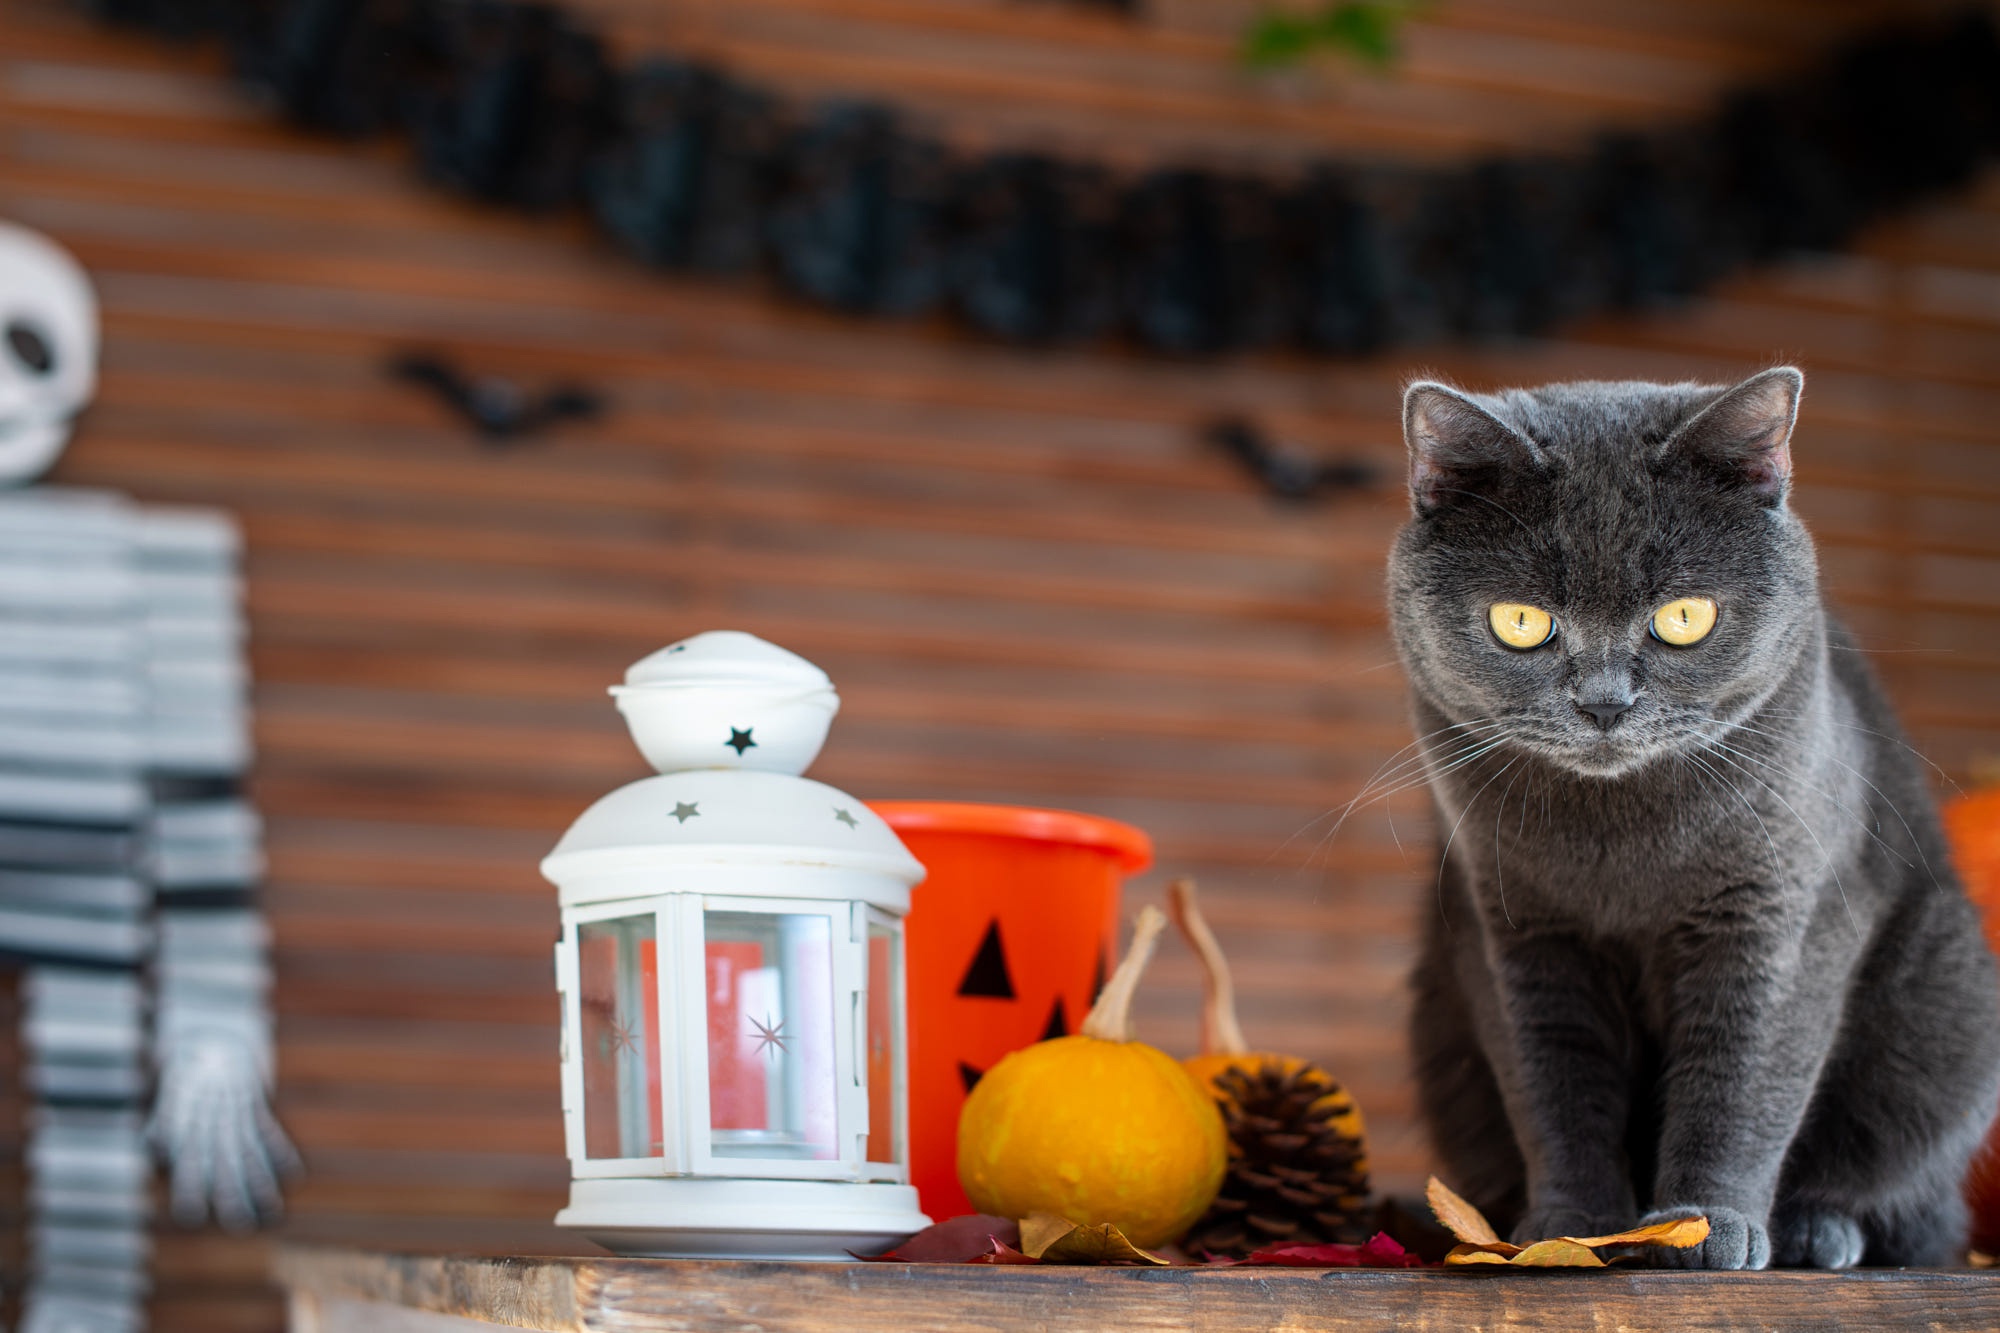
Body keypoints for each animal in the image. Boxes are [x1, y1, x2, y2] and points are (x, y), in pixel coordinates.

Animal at [1392, 366, 2000, 1264]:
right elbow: (1552, 1083)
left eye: (1684, 617)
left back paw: (1820, 1231)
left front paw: (1706, 1225)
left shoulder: (1780, 914)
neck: (1621, 841)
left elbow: (1741, 1076)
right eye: (1521, 621)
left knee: (1909, 1197)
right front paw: (1571, 1228)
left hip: (1946, 996)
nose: (1604, 702)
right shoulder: (1516, 934)